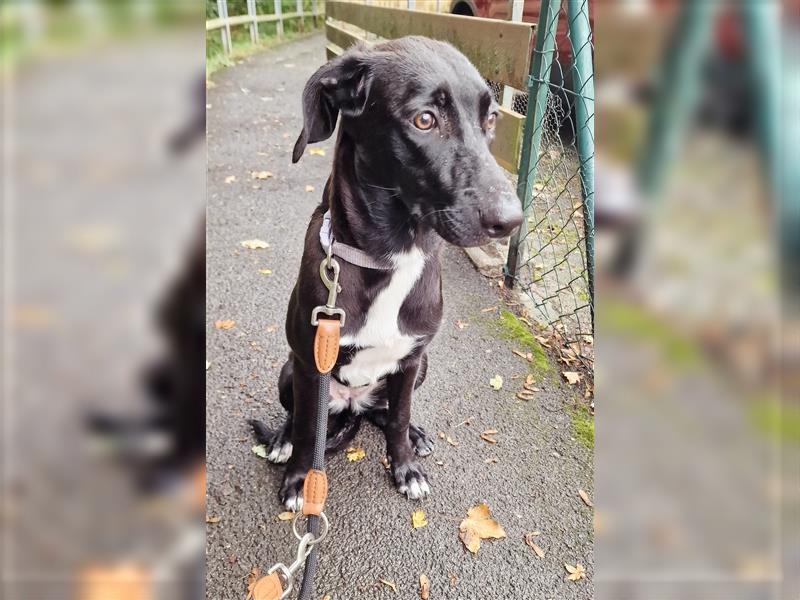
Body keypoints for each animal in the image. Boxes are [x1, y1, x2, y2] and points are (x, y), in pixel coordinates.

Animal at [253, 35, 520, 508]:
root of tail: (352, 406)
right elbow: (307, 428)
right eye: (424, 119)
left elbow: (396, 419)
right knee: (299, 417)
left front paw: (405, 467)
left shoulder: (411, 361)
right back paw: (281, 442)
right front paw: (300, 479)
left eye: (490, 118)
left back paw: (414, 434)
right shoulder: (309, 364)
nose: (512, 221)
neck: (391, 257)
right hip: (290, 370)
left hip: (420, 366)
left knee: (385, 414)